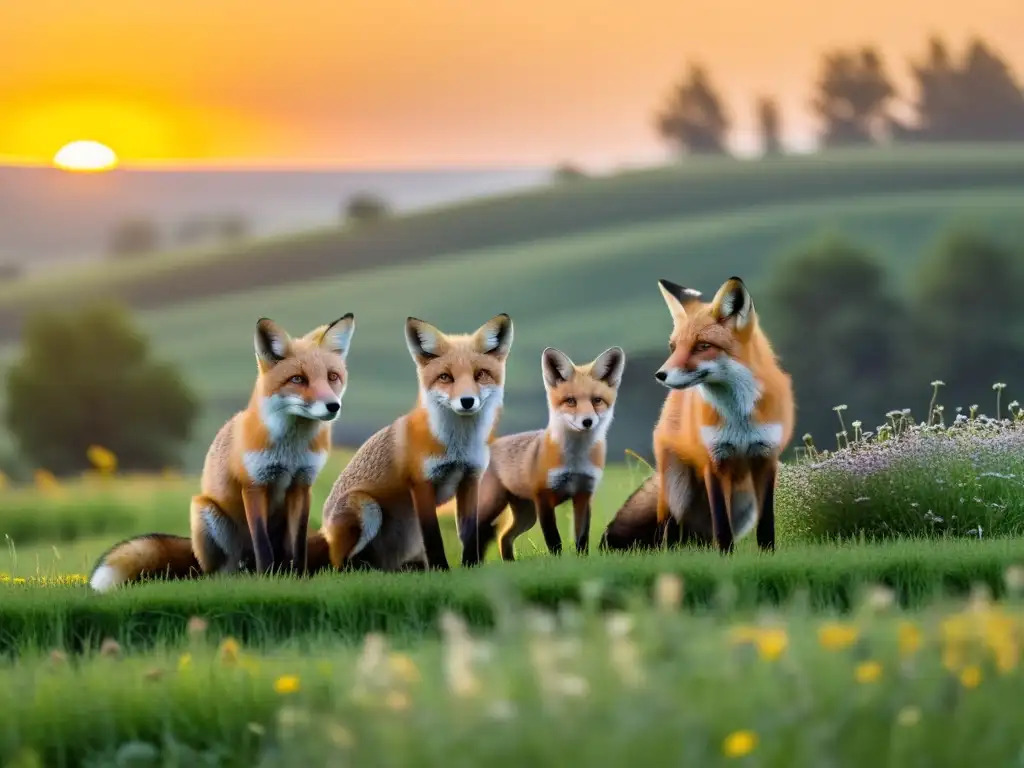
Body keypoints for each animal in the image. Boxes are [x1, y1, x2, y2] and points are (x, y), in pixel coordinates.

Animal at [89, 315, 360, 593]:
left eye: (332, 377)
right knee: (222, 572)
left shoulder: (302, 485)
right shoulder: (253, 485)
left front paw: (299, 578)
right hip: (206, 511)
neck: (290, 451)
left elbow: (298, 545)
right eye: (298, 379)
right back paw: (239, 577)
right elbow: (262, 542)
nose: (333, 406)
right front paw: (268, 579)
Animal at [311, 313, 516, 573]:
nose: (467, 401)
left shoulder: (471, 479)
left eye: (480, 374)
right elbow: (434, 536)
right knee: (338, 566)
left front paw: (470, 566)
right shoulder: (421, 483)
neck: (457, 446)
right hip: (366, 508)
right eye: (445, 377)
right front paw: (442, 570)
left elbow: (469, 532)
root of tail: (324, 530)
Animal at [462, 348, 622, 565]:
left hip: (527, 516)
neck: (575, 460)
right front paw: (558, 564)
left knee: (504, 536)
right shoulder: (544, 498)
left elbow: (582, 538)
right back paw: (468, 565)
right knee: (474, 535)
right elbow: (554, 539)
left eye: (597, 400)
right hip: (492, 506)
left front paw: (582, 562)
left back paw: (509, 563)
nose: (587, 421)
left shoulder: (584, 494)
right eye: (570, 401)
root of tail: (490, 444)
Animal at [598, 280, 790, 557]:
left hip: (743, 503)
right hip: (677, 491)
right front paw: (726, 558)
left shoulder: (766, 457)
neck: (738, 419)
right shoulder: (714, 461)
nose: (660, 375)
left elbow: (765, 524)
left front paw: (767, 556)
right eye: (673, 347)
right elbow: (722, 524)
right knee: (668, 530)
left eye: (703, 346)